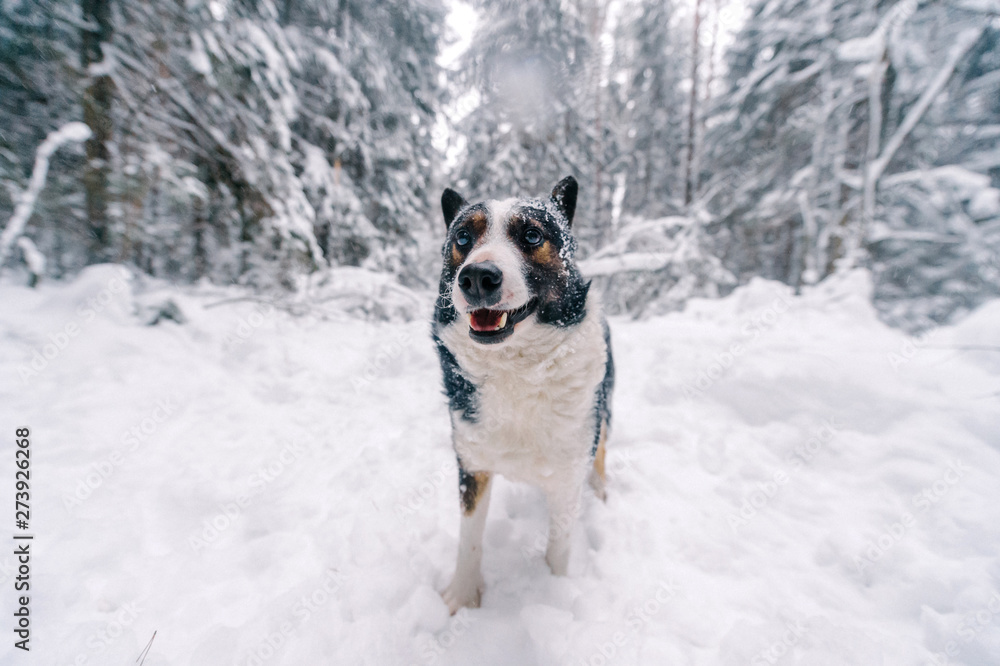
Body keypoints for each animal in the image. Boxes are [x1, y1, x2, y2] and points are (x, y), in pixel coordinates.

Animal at [432, 175, 612, 612]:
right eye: (463, 237)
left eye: (532, 235)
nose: (477, 277)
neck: (515, 369)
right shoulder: (472, 463)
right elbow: (469, 540)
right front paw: (461, 598)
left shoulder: (567, 475)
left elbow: (559, 548)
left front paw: (555, 595)